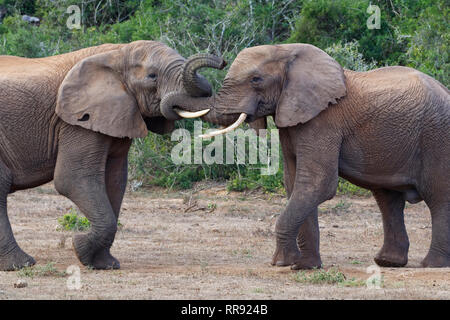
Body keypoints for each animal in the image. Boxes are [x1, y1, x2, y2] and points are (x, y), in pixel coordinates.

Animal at [0, 40, 223, 270]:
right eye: (152, 76)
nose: (221, 61)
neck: (118, 53)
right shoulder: (76, 120)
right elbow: (73, 179)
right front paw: (80, 247)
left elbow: (115, 181)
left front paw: (104, 264)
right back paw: (21, 264)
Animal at [160, 42, 448, 268]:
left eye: (256, 80)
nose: (220, 60)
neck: (288, 52)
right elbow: (295, 183)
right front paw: (302, 265)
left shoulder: (323, 121)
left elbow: (317, 184)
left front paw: (283, 264)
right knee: (388, 200)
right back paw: (388, 262)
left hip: (436, 136)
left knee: (437, 197)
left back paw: (432, 265)